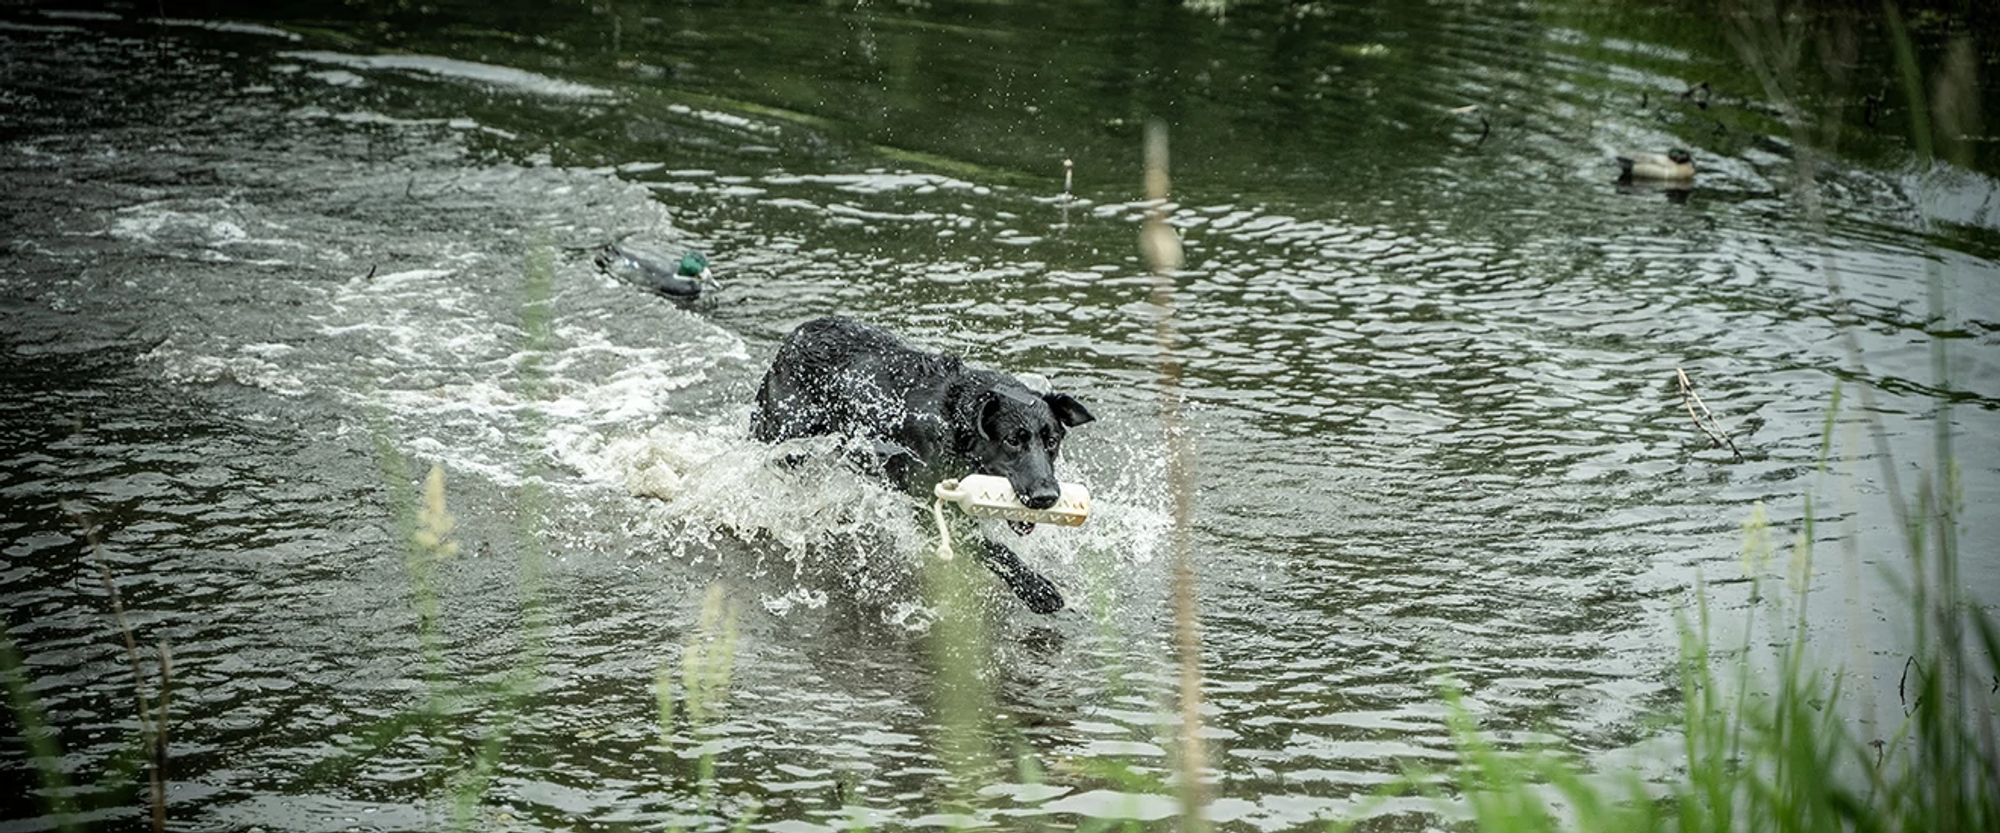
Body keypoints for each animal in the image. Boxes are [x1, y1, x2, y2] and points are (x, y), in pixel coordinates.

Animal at [752, 316, 1096, 612]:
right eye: (1012, 440)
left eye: (1052, 441)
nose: (1046, 497)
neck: (953, 422)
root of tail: (796, 335)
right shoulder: (929, 505)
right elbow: (990, 548)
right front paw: (1036, 589)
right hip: (784, 437)